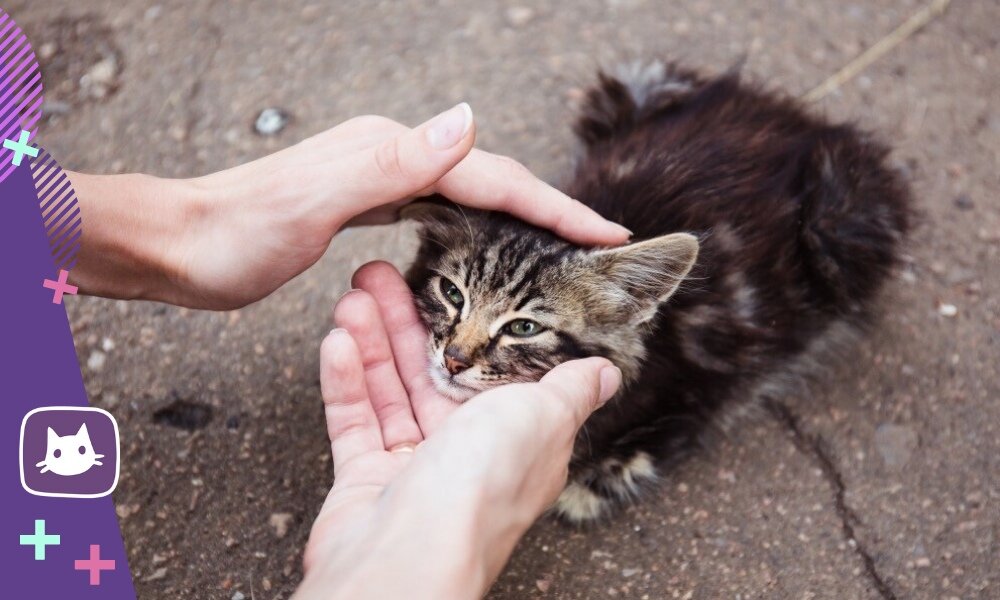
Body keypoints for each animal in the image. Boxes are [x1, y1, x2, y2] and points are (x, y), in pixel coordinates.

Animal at [402, 58, 912, 524]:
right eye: (452, 294)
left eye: (524, 328)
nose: (454, 360)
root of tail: (794, 119)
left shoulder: (700, 377)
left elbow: (680, 423)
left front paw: (601, 475)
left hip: (840, 222)